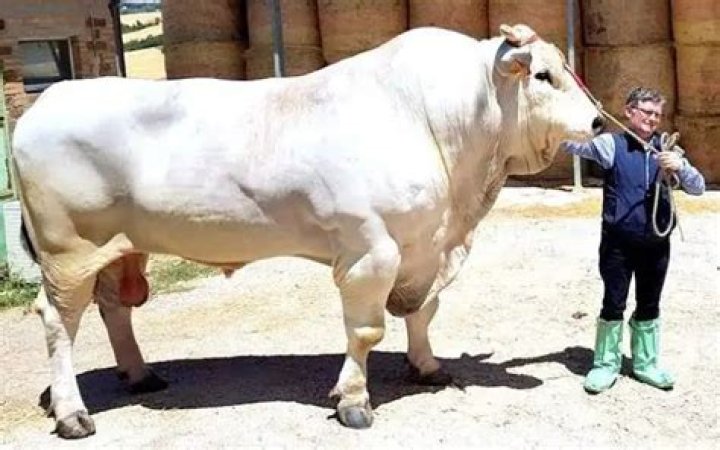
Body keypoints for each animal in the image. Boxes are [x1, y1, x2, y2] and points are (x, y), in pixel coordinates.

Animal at [11, 24, 603, 438]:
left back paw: (139, 375)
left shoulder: (423, 246)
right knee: (59, 323)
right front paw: (354, 401)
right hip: (67, 253)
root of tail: (46, 103)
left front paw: (427, 365)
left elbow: (421, 311)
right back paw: (72, 414)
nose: (599, 121)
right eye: (543, 76)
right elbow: (366, 330)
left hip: (119, 249)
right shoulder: (371, 250)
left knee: (115, 308)